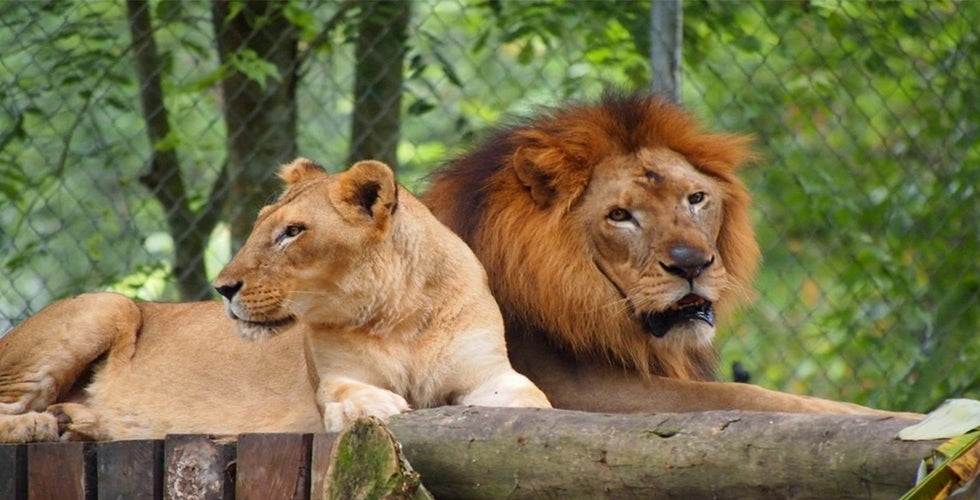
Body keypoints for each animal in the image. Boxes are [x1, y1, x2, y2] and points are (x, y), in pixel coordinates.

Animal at [0, 158, 548, 442]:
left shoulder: (491, 374)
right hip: (106, 305)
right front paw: (378, 406)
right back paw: (43, 424)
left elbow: (533, 400)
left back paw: (78, 422)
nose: (222, 288)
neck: (401, 315)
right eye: (263, 226)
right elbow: (351, 397)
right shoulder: (334, 378)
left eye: (292, 232)